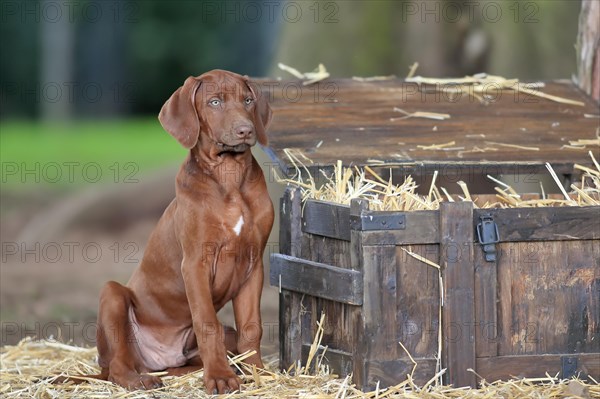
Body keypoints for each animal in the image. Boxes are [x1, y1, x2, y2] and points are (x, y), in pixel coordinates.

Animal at [94, 70, 274, 396]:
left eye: (248, 100)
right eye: (214, 102)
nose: (245, 130)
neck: (229, 175)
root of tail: (157, 359)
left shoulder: (253, 265)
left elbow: (252, 326)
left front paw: (257, 373)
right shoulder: (195, 264)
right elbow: (207, 323)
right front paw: (220, 378)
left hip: (195, 350)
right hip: (113, 296)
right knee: (117, 366)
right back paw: (140, 380)